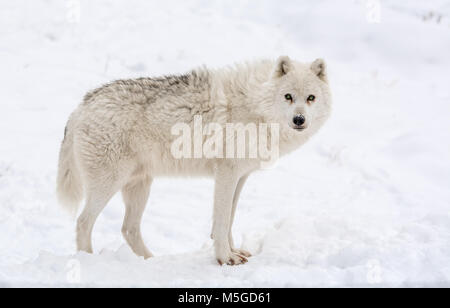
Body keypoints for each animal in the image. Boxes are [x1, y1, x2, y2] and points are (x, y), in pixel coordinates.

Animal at [56, 56, 332, 266]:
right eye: (288, 96)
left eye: (311, 98)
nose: (299, 120)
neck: (257, 107)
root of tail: (80, 107)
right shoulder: (227, 174)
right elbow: (222, 221)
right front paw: (225, 259)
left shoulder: (240, 177)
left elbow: (229, 219)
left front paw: (233, 252)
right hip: (109, 184)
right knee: (83, 222)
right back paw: (88, 260)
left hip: (140, 187)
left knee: (128, 228)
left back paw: (151, 260)